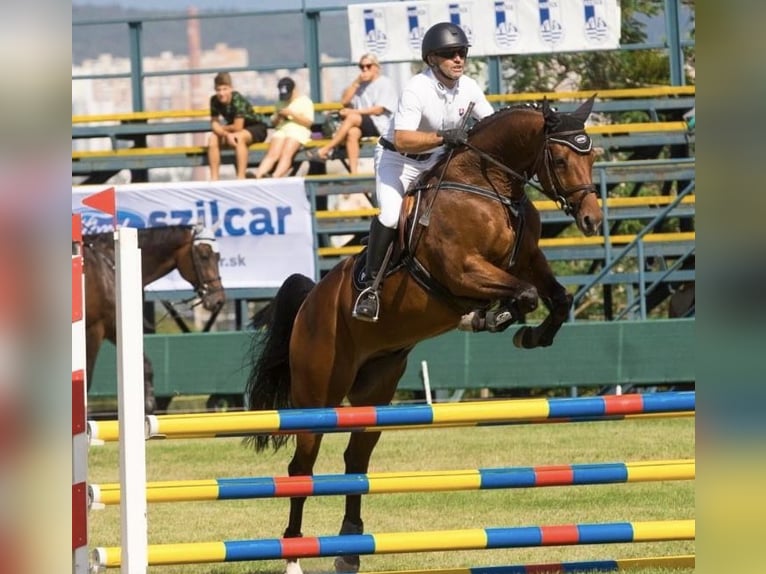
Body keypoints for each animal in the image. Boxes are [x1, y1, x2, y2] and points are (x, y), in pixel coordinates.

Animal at [86, 224, 226, 414]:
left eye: (218, 256)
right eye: (204, 255)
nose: (218, 299)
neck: (110, 266)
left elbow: (146, 366)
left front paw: (149, 407)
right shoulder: (98, 329)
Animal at [248, 99, 608, 574]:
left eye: (593, 155)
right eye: (563, 159)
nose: (591, 219)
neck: (486, 187)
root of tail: (311, 299)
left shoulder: (528, 260)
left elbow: (556, 298)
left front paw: (529, 336)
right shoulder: (464, 270)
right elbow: (525, 295)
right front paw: (488, 318)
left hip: (375, 391)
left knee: (355, 459)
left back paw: (349, 550)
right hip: (317, 395)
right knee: (300, 469)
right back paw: (293, 556)